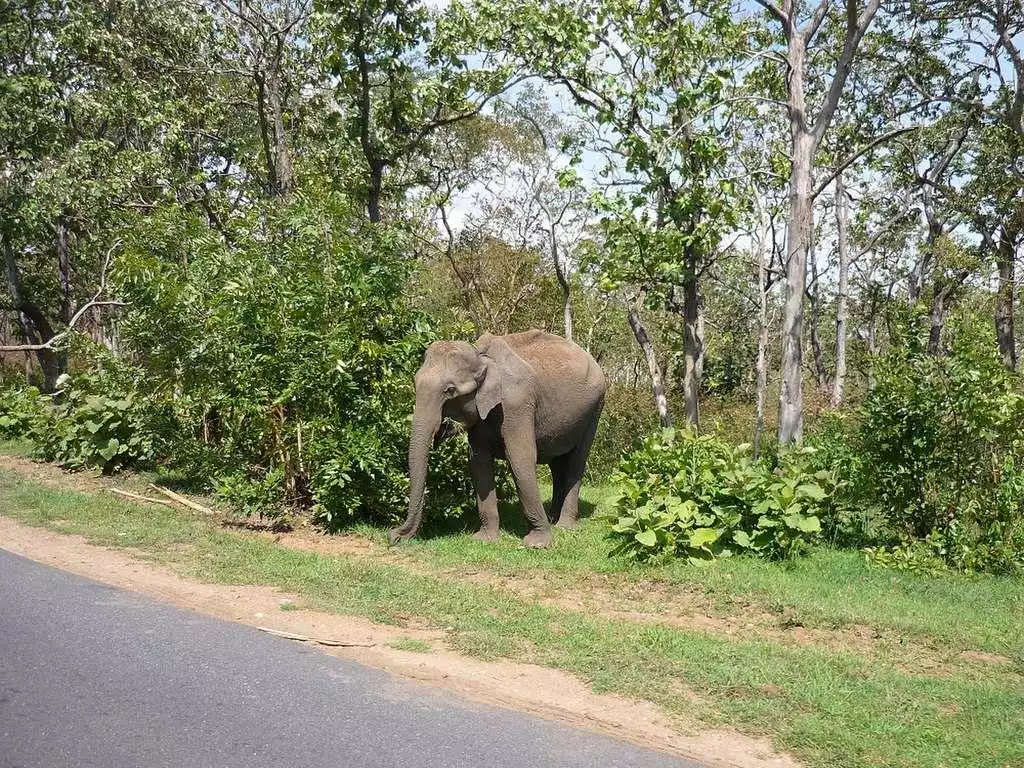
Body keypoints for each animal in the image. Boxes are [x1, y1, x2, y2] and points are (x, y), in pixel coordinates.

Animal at [387, 329, 602, 548]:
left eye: (450, 390)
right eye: (415, 383)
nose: (393, 535)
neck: (480, 355)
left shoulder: (517, 404)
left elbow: (520, 459)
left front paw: (538, 543)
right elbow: (478, 462)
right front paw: (484, 539)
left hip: (595, 409)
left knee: (576, 461)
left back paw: (565, 526)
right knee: (558, 464)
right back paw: (553, 519)